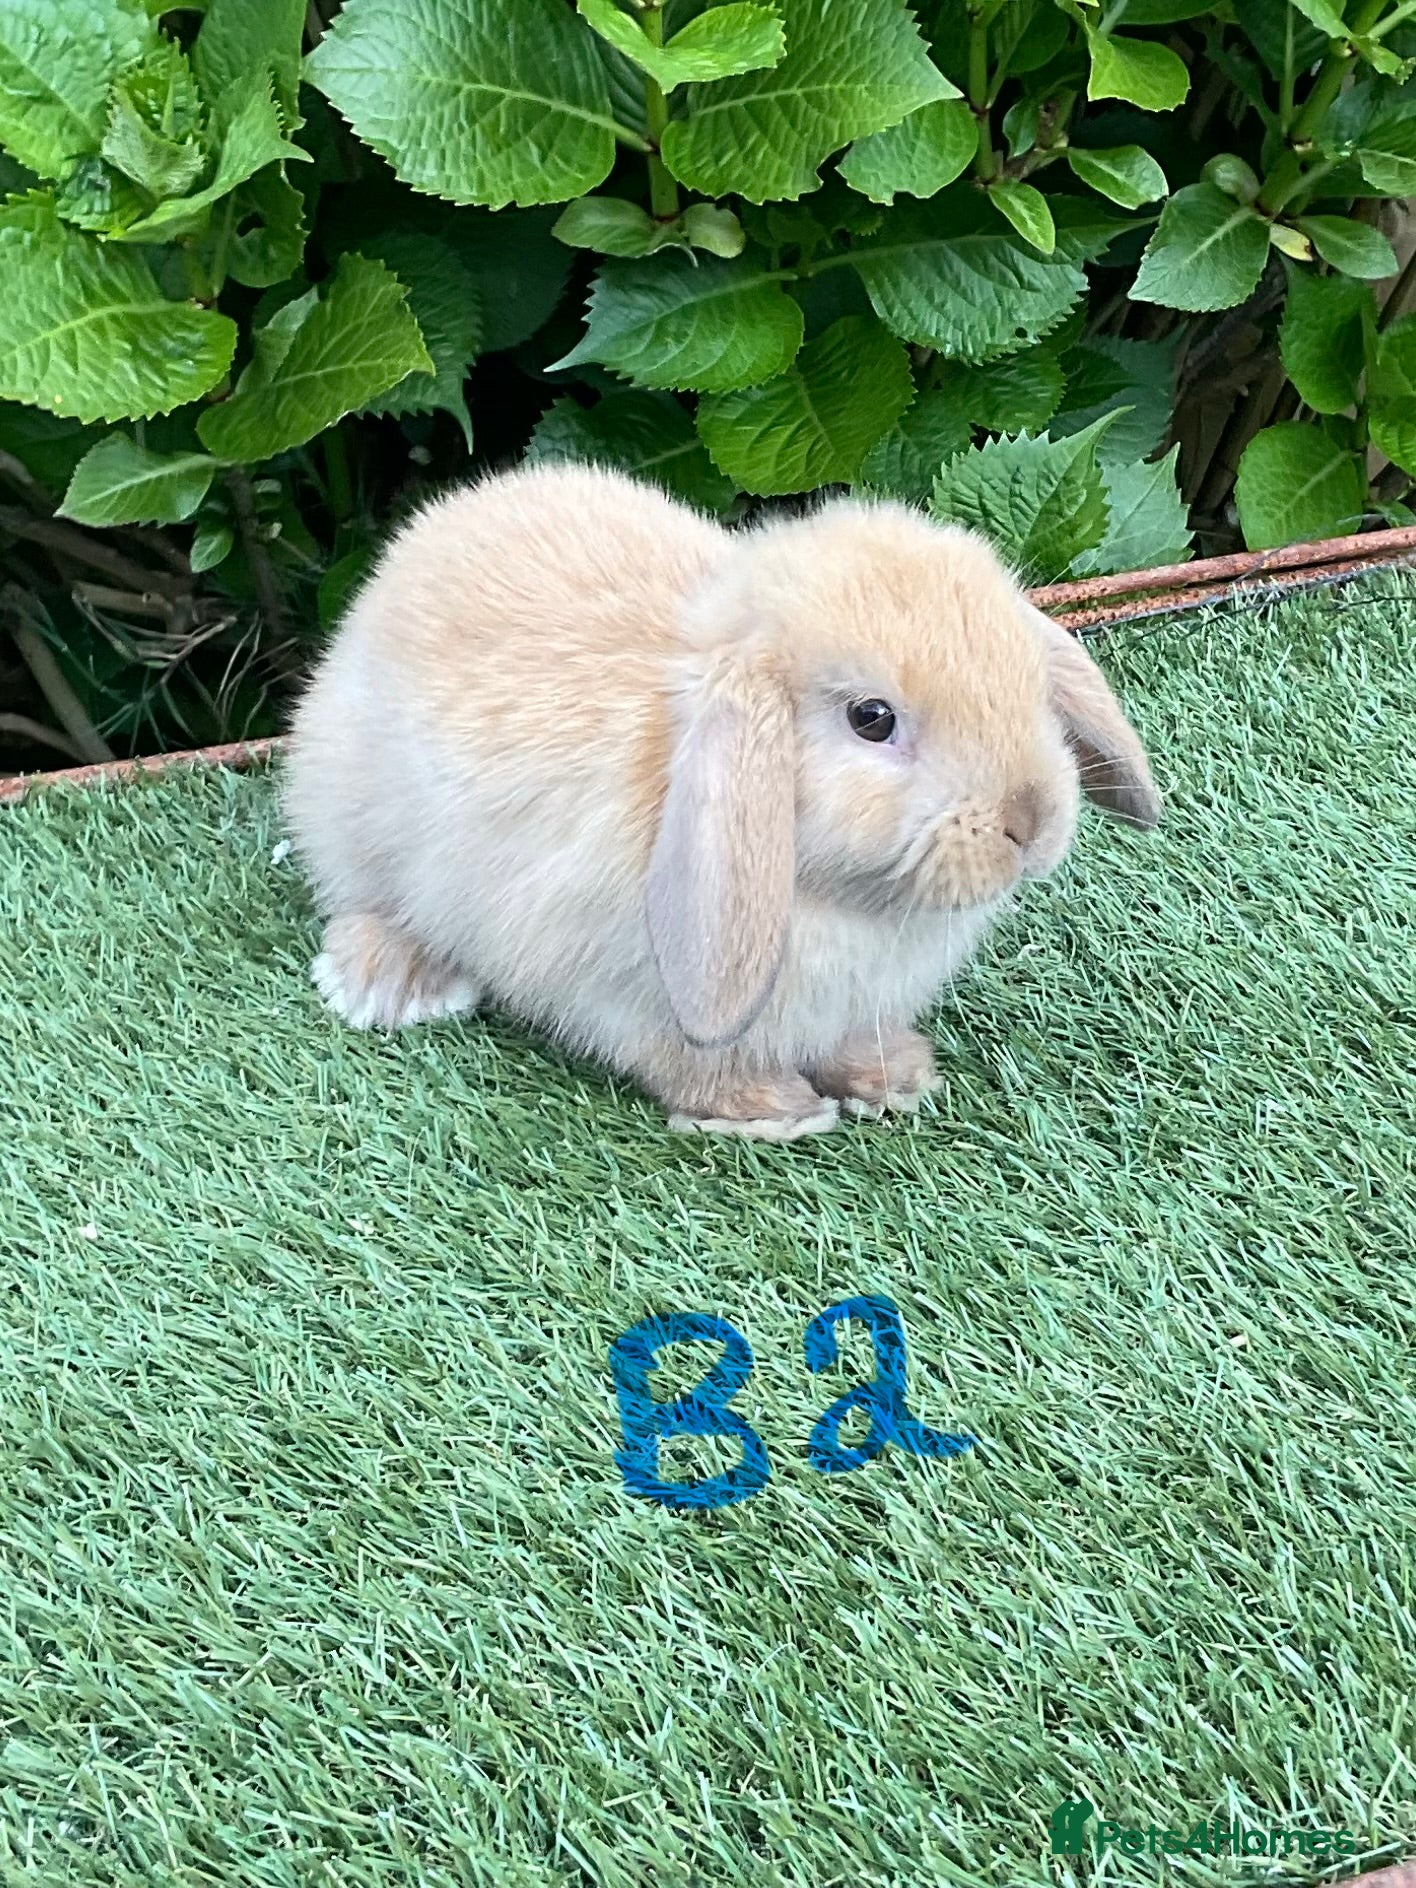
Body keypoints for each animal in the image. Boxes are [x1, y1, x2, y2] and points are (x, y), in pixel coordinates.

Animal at [282, 461, 1160, 1142]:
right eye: (872, 719)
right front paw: (774, 1111)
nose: (1029, 821)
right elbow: (683, 1061)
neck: (836, 894)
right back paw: (391, 983)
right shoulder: (623, 990)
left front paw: (896, 1079)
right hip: (352, 820)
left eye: (1029, 682)